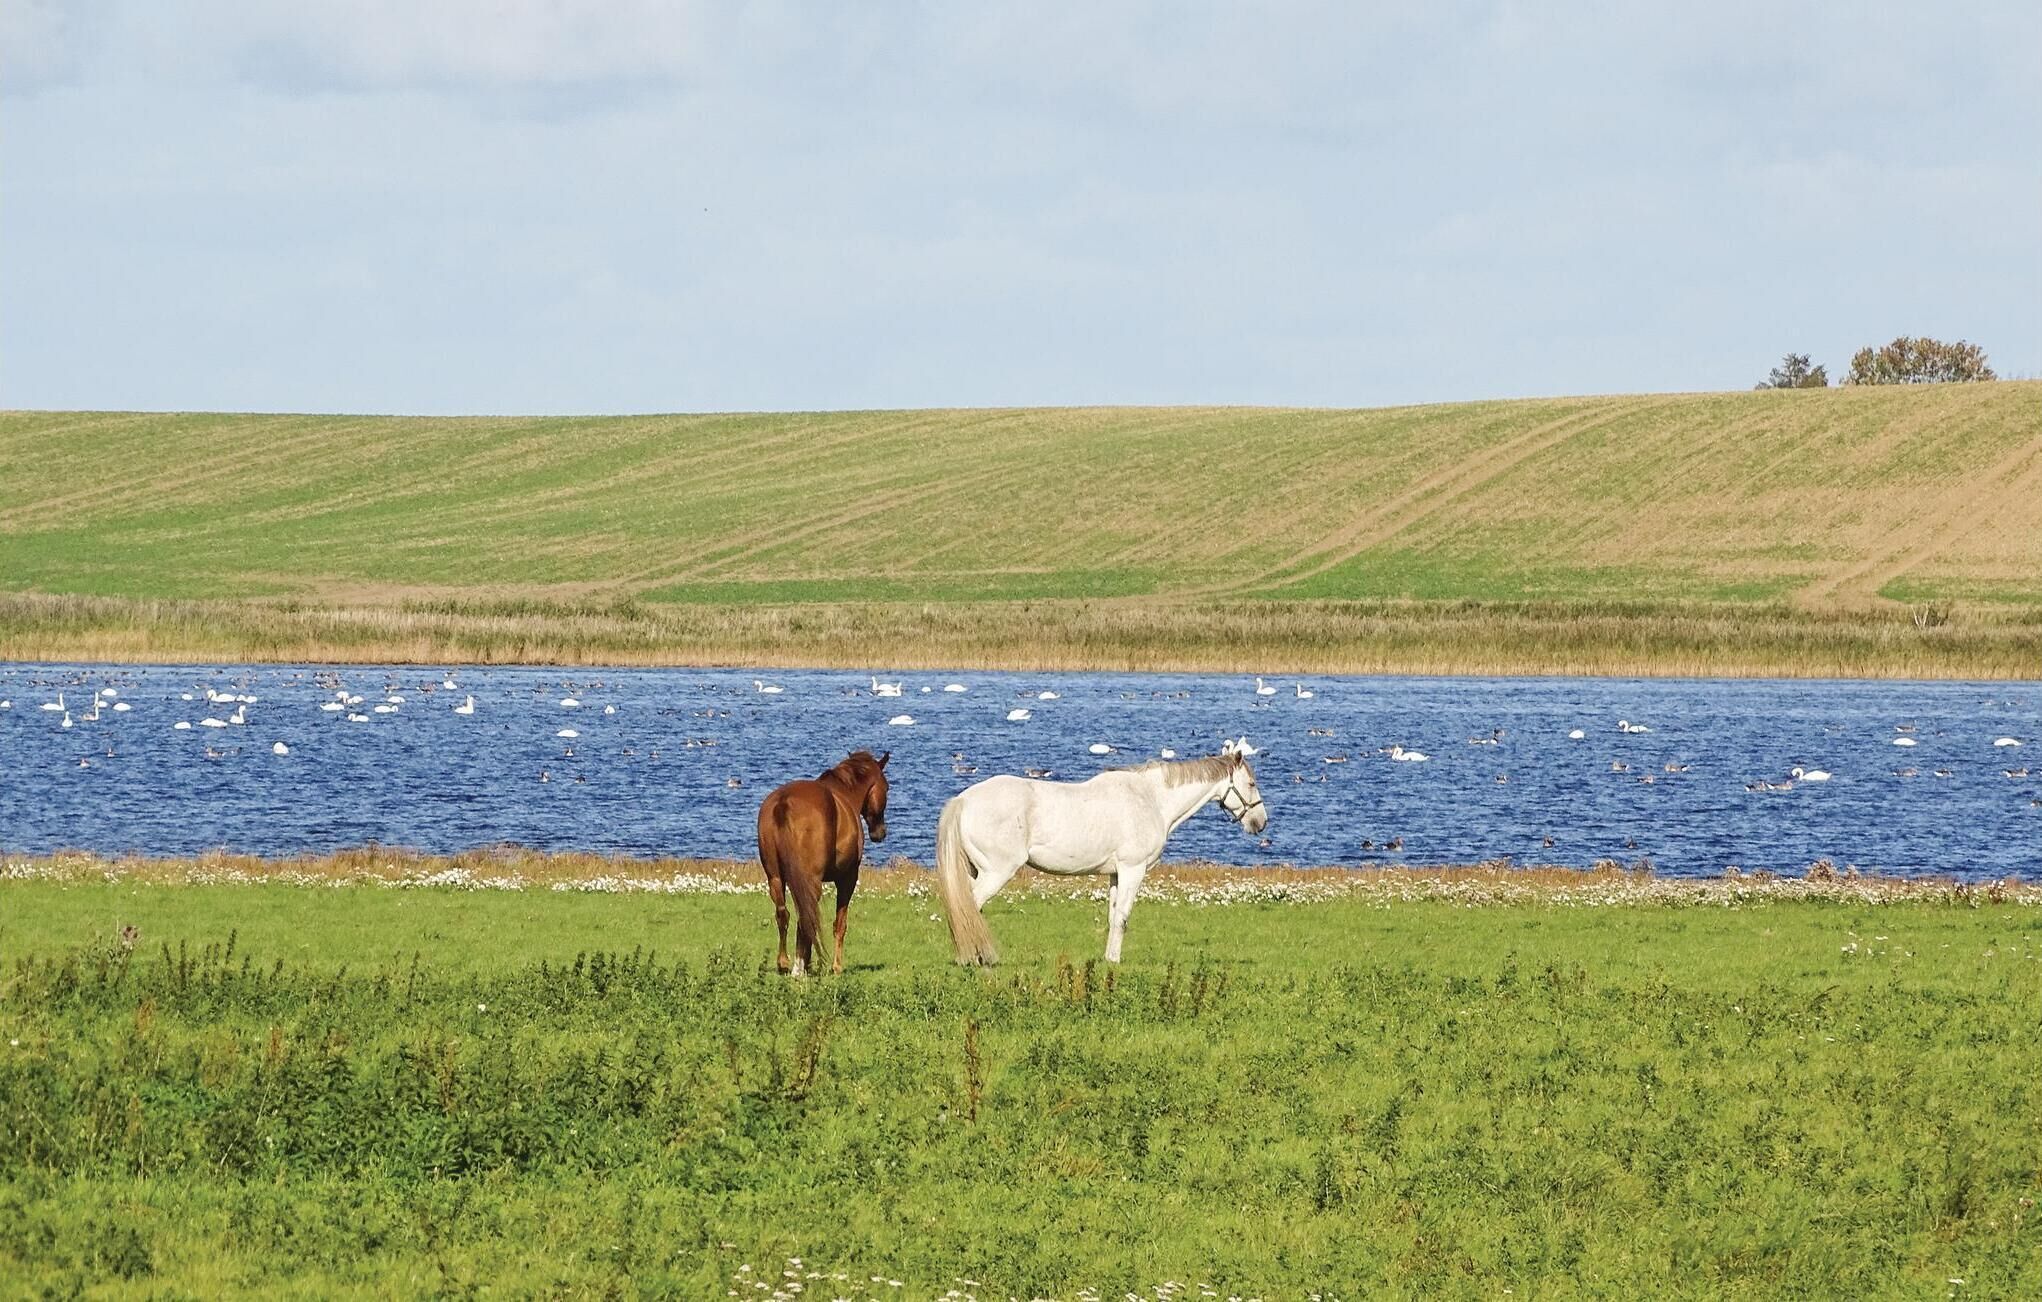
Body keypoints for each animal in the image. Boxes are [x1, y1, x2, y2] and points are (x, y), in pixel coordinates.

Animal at [757, 749, 891, 975]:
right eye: (887, 787)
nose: (880, 833)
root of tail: (783, 802)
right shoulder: (848, 878)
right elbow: (840, 923)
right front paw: (836, 966)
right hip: (811, 881)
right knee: (805, 918)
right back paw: (799, 968)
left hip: (775, 878)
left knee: (784, 914)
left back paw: (785, 963)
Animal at [934, 740, 1268, 965]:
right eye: (1251, 783)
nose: (1260, 822)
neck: (1151, 799)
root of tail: (963, 800)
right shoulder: (1133, 870)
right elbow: (1123, 917)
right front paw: (1115, 961)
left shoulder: (1116, 875)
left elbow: (1112, 917)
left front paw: (1109, 958)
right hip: (996, 872)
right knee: (969, 906)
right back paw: (974, 958)